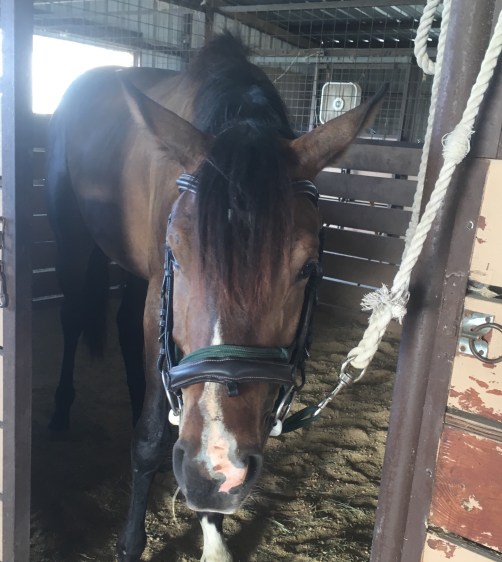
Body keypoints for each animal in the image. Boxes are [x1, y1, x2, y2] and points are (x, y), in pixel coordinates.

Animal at [46, 33, 385, 562]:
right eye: (179, 254)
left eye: (306, 269)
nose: (215, 473)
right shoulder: (160, 294)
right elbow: (149, 440)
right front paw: (131, 541)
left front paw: (212, 531)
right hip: (73, 239)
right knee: (73, 316)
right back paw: (63, 410)